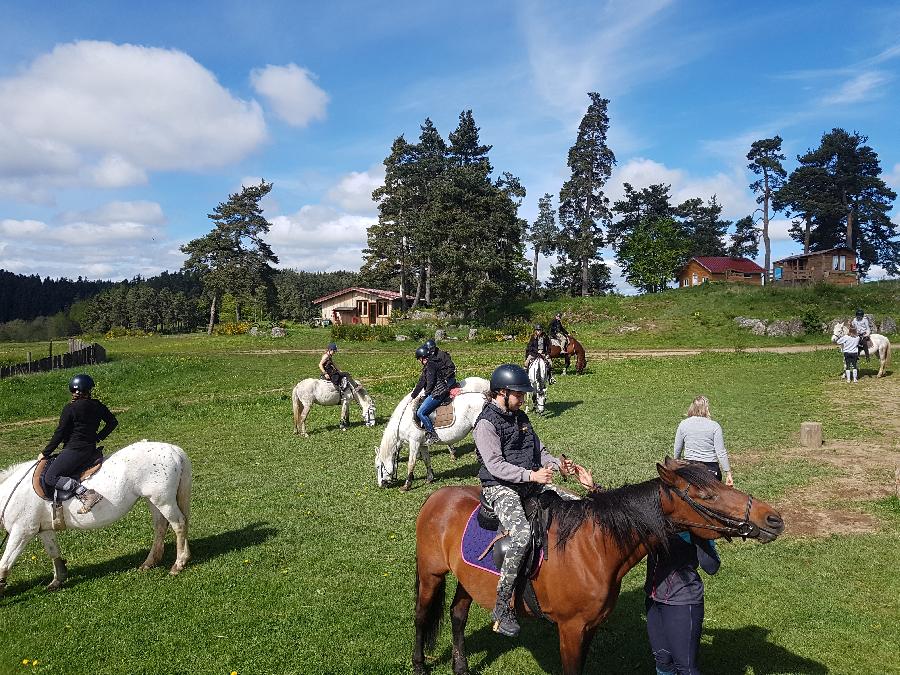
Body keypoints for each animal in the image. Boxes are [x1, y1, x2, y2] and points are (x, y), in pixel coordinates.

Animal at [0, 438, 190, 592]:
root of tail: (174, 450)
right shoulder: (43, 529)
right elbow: (54, 552)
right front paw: (57, 580)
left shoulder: (23, 531)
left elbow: (5, 562)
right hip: (153, 501)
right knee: (161, 526)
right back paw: (150, 562)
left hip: (163, 501)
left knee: (179, 524)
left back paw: (178, 564)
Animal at [412, 460, 784, 675]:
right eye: (706, 495)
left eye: (720, 483)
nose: (773, 519)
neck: (592, 547)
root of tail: (438, 496)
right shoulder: (570, 629)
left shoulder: (588, 628)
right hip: (431, 574)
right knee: (421, 617)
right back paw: (418, 665)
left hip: (467, 579)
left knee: (457, 615)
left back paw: (461, 667)